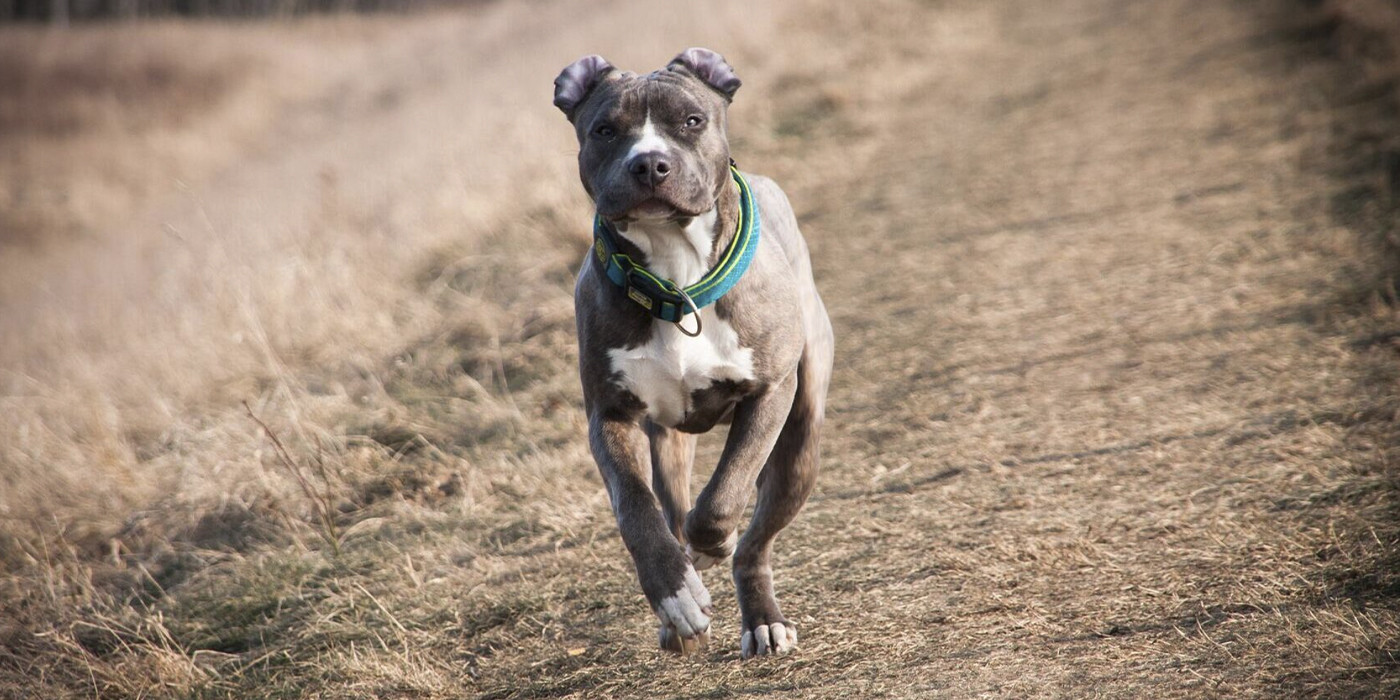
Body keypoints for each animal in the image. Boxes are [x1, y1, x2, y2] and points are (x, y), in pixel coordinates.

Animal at [548, 47, 828, 655]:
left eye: (692, 121)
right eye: (604, 130)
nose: (650, 164)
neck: (675, 275)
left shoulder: (770, 394)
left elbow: (725, 495)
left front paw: (709, 547)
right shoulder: (610, 416)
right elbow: (636, 512)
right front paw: (676, 595)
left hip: (800, 446)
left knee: (754, 543)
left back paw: (761, 618)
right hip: (670, 444)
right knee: (671, 509)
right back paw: (680, 610)